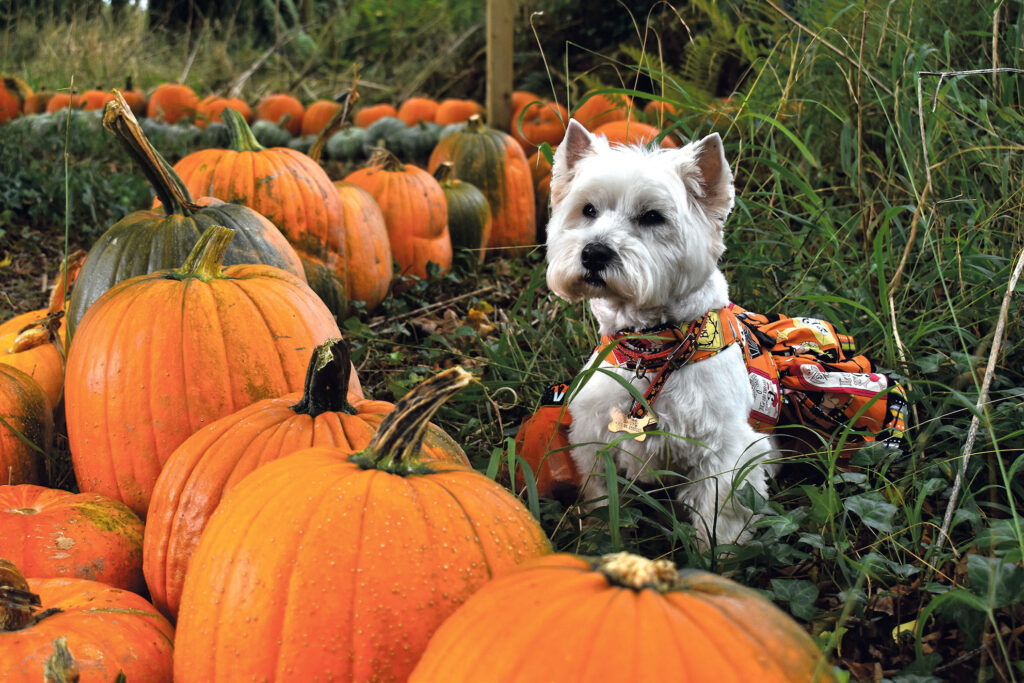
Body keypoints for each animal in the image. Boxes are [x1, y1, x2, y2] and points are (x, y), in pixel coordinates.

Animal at [544, 120, 774, 548]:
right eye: (588, 210)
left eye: (652, 216)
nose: (594, 253)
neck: (652, 351)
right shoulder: (595, 438)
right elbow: (602, 500)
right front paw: (601, 538)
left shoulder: (726, 452)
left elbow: (720, 519)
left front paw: (718, 559)